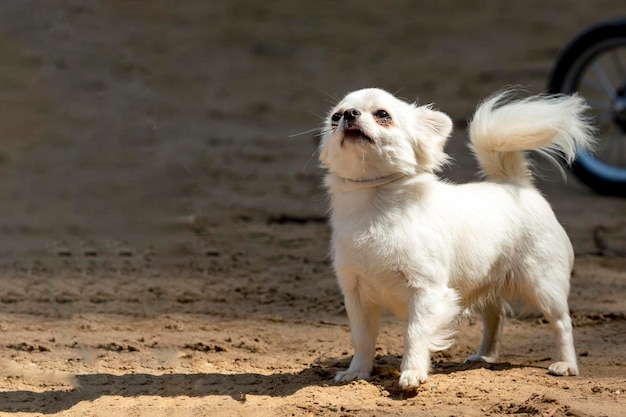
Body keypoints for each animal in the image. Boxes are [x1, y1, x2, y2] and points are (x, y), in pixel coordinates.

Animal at [320, 86, 592, 388]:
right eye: (335, 117)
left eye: (382, 115)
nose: (349, 114)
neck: (373, 207)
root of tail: (516, 184)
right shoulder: (356, 294)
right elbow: (362, 338)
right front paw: (357, 372)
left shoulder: (426, 292)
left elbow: (414, 334)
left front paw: (412, 373)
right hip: (486, 281)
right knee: (496, 317)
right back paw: (484, 356)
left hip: (543, 285)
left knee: (561, 323)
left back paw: (566, 365)